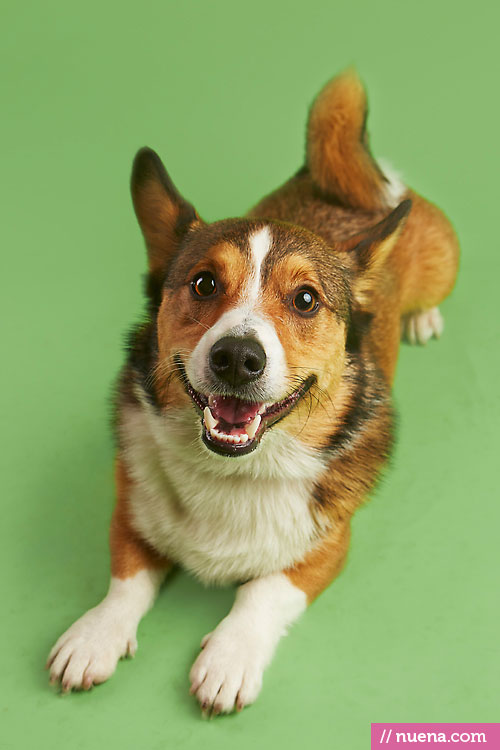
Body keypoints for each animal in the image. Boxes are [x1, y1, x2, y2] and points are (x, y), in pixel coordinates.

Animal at [45, 70, 458, 716]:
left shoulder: (327, 546)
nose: (237, 358)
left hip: (446, 265)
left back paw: (423, 319)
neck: (235, 472)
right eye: (204, 283)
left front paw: (229, 659)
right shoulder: (129, 506)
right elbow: (126, 577)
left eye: (306, 299)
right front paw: (94, 636)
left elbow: (264, 591)